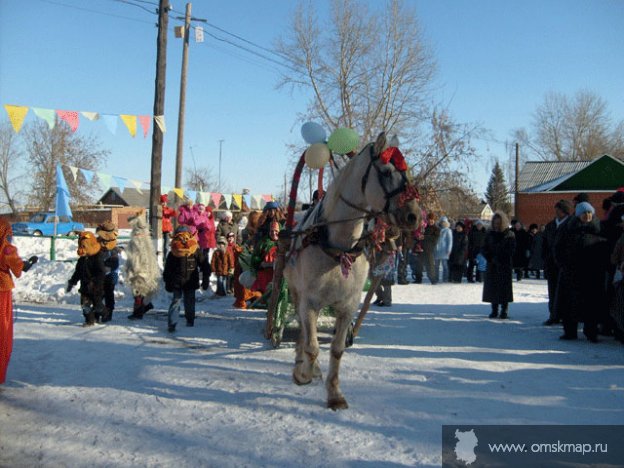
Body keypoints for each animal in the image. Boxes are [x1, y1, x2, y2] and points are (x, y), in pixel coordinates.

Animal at [286, 133, 422, 410]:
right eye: (386, 172)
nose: (414, 215)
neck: (338, 249)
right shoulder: (309, 303)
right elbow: (313, 346)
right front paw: (303, 373)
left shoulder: (348, 306)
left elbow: (337, 349)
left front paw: (334, 393)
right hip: (296, 293)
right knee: (305, 333)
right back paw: (303, 363)